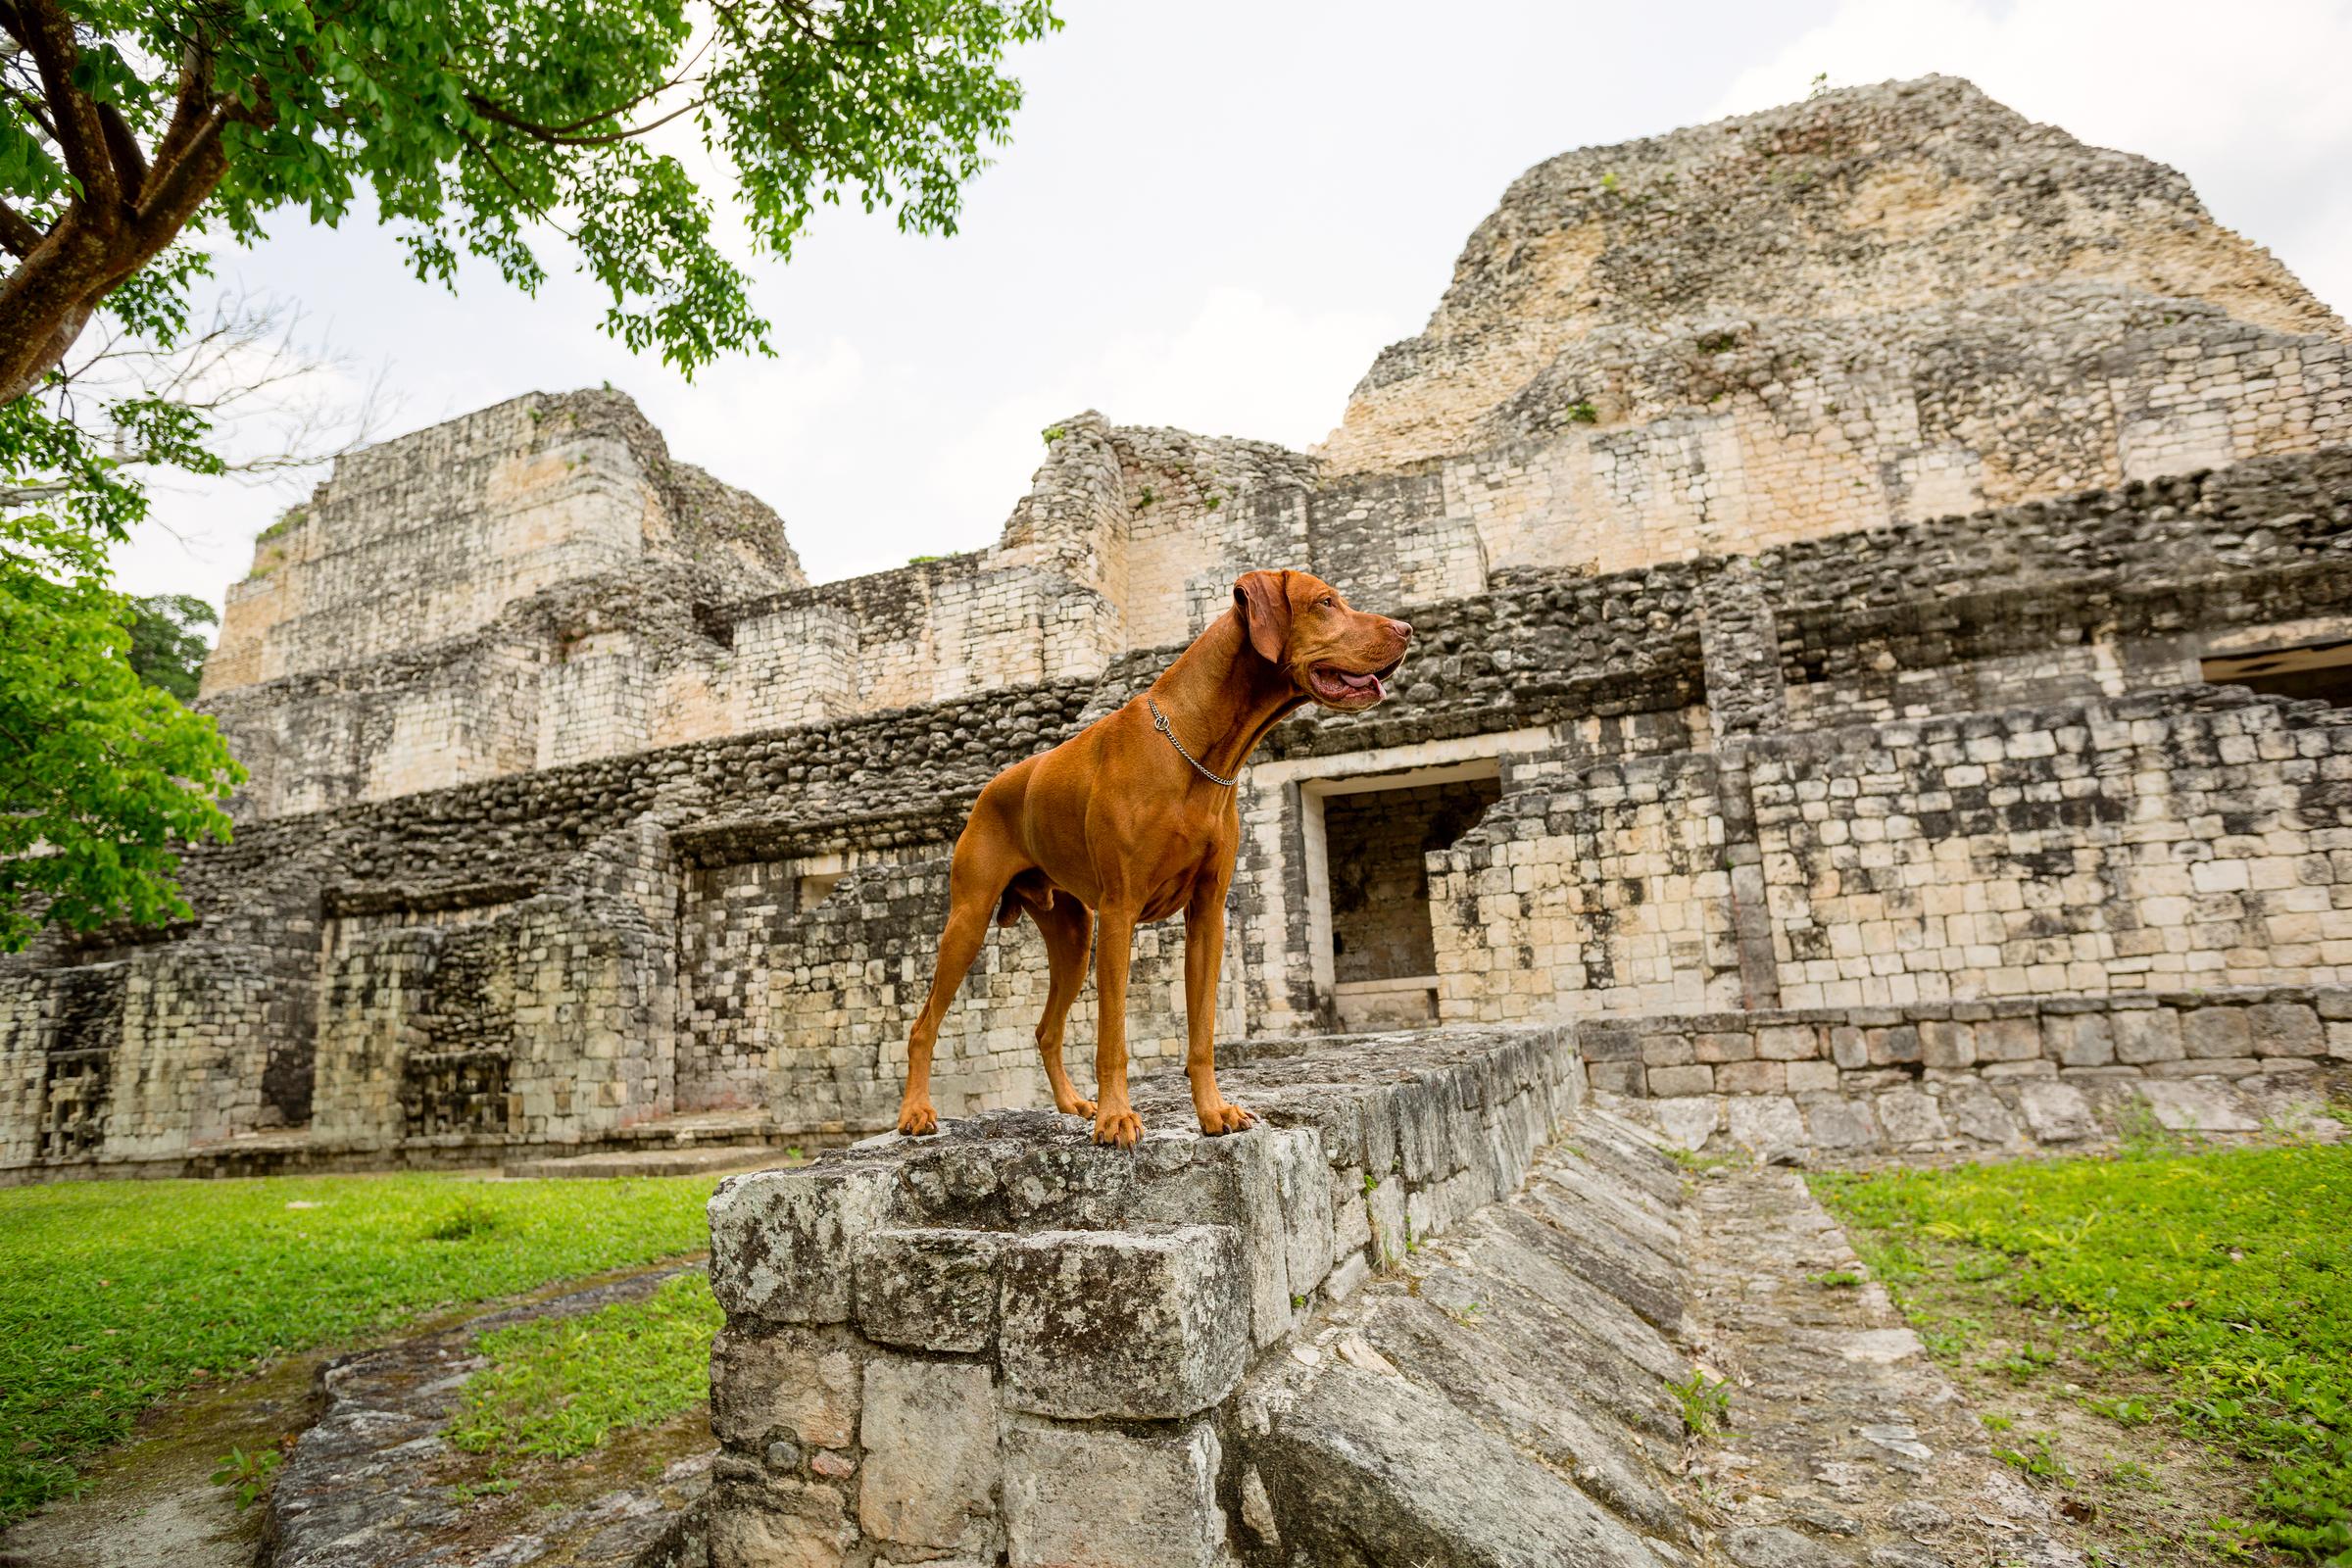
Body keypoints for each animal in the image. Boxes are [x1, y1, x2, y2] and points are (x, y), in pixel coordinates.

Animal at [894, 570, 1411, 1147]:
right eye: (1325, 602)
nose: (1407, 629)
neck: (1195, 750)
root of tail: (989, 789)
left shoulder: (1207, 915)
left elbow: (1202, 1033)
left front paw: (1213, 1111)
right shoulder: (1120, 913)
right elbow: (1113, 1037)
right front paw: (1117, 1118)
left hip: (1073, 937)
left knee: (1047, 1030)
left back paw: (1072, 1104)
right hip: (969, 921)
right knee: (922, 1025)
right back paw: (916, 1113)